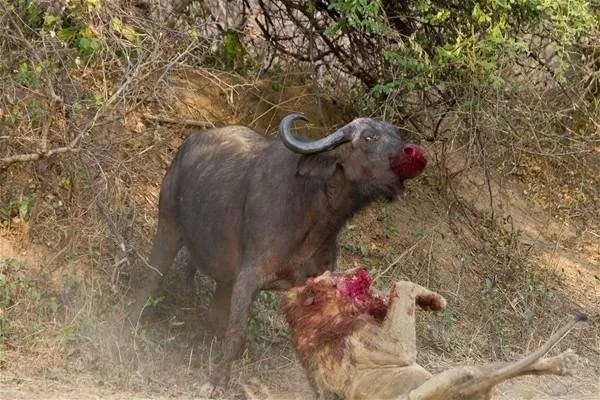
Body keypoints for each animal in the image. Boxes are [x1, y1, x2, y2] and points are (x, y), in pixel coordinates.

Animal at [135, 112, 426, 390]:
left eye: (397, 134)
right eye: (368, 137)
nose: (412, 153)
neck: (315, 214)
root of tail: (189, 143)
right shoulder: (249, 276)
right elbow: (237, 335)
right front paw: (216, 383)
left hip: (222, 277)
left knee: (213, 312)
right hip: (168, 227)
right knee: (150, 281)